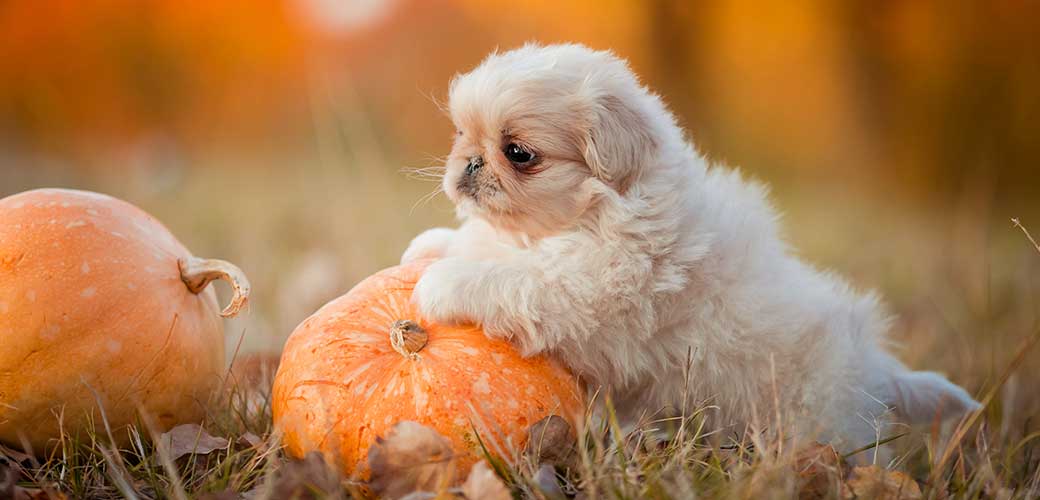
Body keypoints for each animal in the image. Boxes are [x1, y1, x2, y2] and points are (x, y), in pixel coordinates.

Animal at [401, 41, 977, 449]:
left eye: (518, 153)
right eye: (460, 135)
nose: (469, 163)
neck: (593, 215)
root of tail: (876, 371)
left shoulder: (590, 293)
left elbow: (517, 279)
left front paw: (444, 283)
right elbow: (483, 246)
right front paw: (429, 247)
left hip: (812, 419)